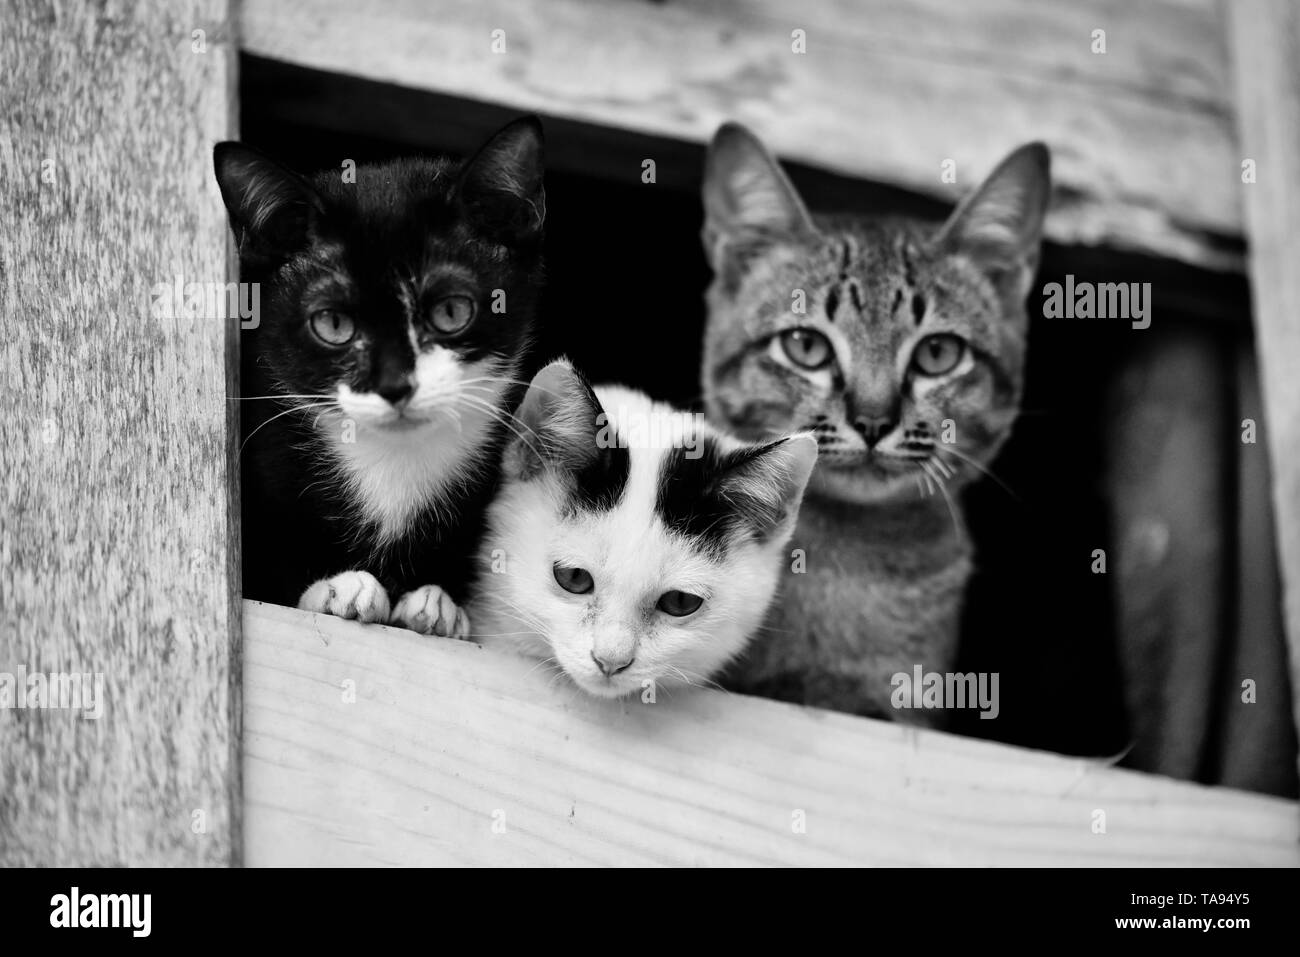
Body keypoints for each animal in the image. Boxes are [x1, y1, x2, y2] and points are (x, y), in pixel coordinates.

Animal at [211, 117, 543, 629]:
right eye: (333, 323)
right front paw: (338, 588)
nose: (394, 384)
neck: (393, 461)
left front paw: (438, 603)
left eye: (451, 311)